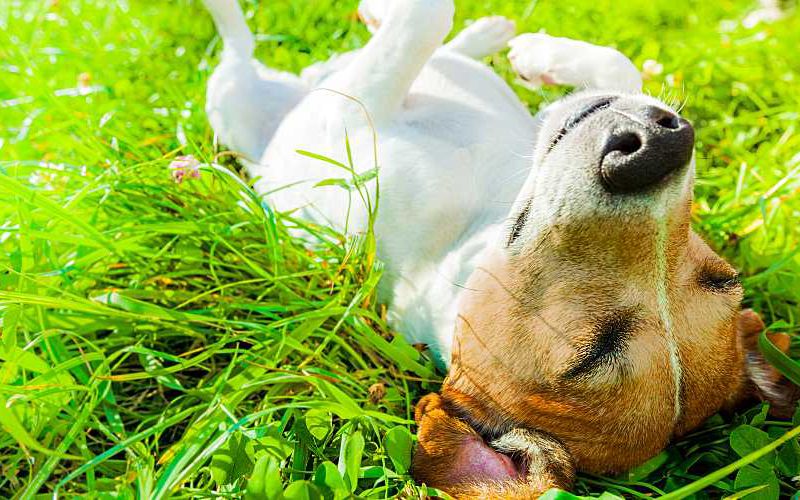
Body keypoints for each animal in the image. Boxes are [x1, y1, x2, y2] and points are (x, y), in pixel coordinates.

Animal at [202, 0, 800, 496]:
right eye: (723, 276)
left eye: (589, 355)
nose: (656, 147)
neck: (481, 222)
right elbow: (618, 66)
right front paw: (544, 58)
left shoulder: (350, 124)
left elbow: (425, 19)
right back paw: (484, 34)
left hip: (231, 102)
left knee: (237, 48)